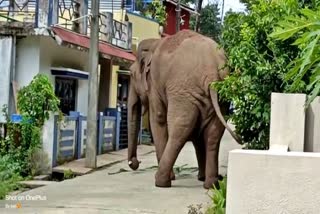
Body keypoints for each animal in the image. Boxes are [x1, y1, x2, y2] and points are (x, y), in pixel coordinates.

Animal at [127, 29, 240, 188]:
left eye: (130, 74)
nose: (135, 163)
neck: (155, 42)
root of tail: (211, 73)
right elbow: (199, 134)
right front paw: (201, 177)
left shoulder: (154, 84)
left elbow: (158, 119)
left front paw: (172, 177)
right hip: (220, 97)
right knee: (213, 133)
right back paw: (211, 184)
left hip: (183, 92)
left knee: (179, 128)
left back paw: (160, 181)